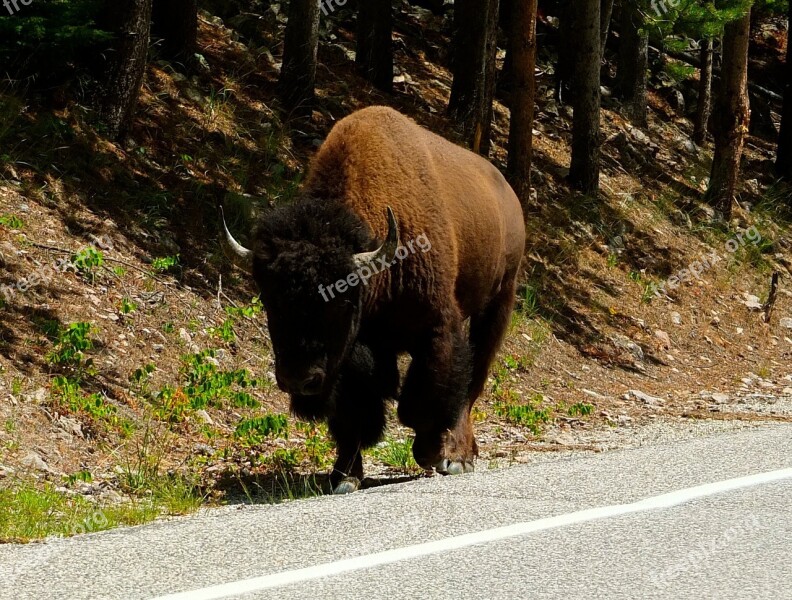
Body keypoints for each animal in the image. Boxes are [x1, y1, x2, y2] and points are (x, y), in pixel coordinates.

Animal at [221, 106, 524, 492]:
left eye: (339, 302)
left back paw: (458, 456)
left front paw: (429, 453)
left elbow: (425, 399)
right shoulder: (353, 354)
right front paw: (344, 476)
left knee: (473, 382)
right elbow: (355, 412)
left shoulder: (437, 327)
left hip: (500, 300)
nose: (299, 380)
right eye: (269, 301)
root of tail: (508, 195)